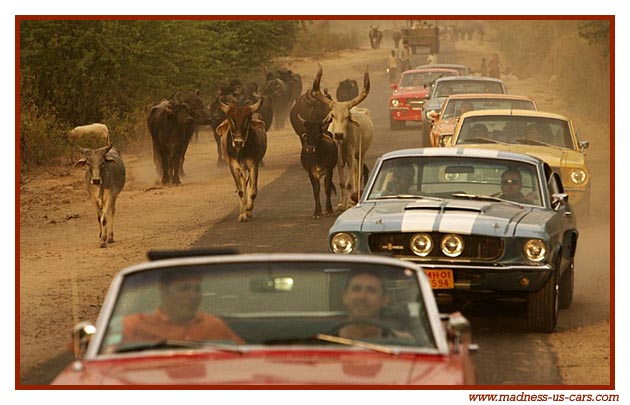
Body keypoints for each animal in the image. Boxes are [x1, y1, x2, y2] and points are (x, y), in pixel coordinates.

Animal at [316, 64, 376, 210]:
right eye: (332, 115)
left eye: (347, 116)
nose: (338, 134)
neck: (342, 144)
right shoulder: (338, 160)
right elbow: (342, 183)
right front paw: (342, 203)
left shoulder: (350, 155)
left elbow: (349, 182)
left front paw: (348, 202)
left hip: (361, 153)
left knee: (357, 173)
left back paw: (355, 198)